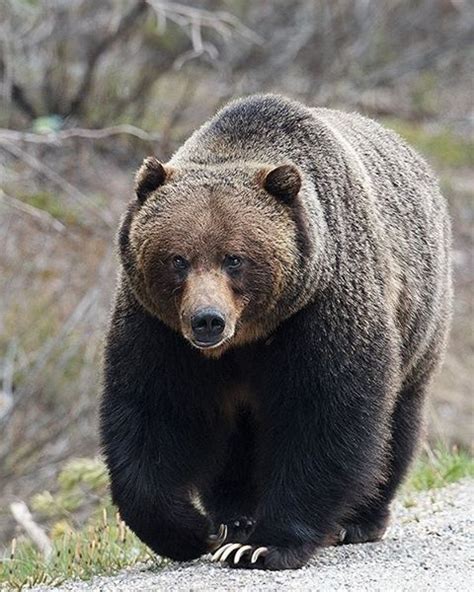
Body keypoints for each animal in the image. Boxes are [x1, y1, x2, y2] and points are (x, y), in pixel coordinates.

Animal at [99, 93, 452, 568]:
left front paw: (263, 545)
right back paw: (235, 516)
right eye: (177, 259)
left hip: (420, 323)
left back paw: (359, 520)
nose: (207, 319)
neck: (246, 338)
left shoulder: (321, 308)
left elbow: (324, 413)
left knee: (397, 425)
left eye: (234, 258)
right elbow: (154, 411)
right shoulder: (159, 329)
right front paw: (194, 531)